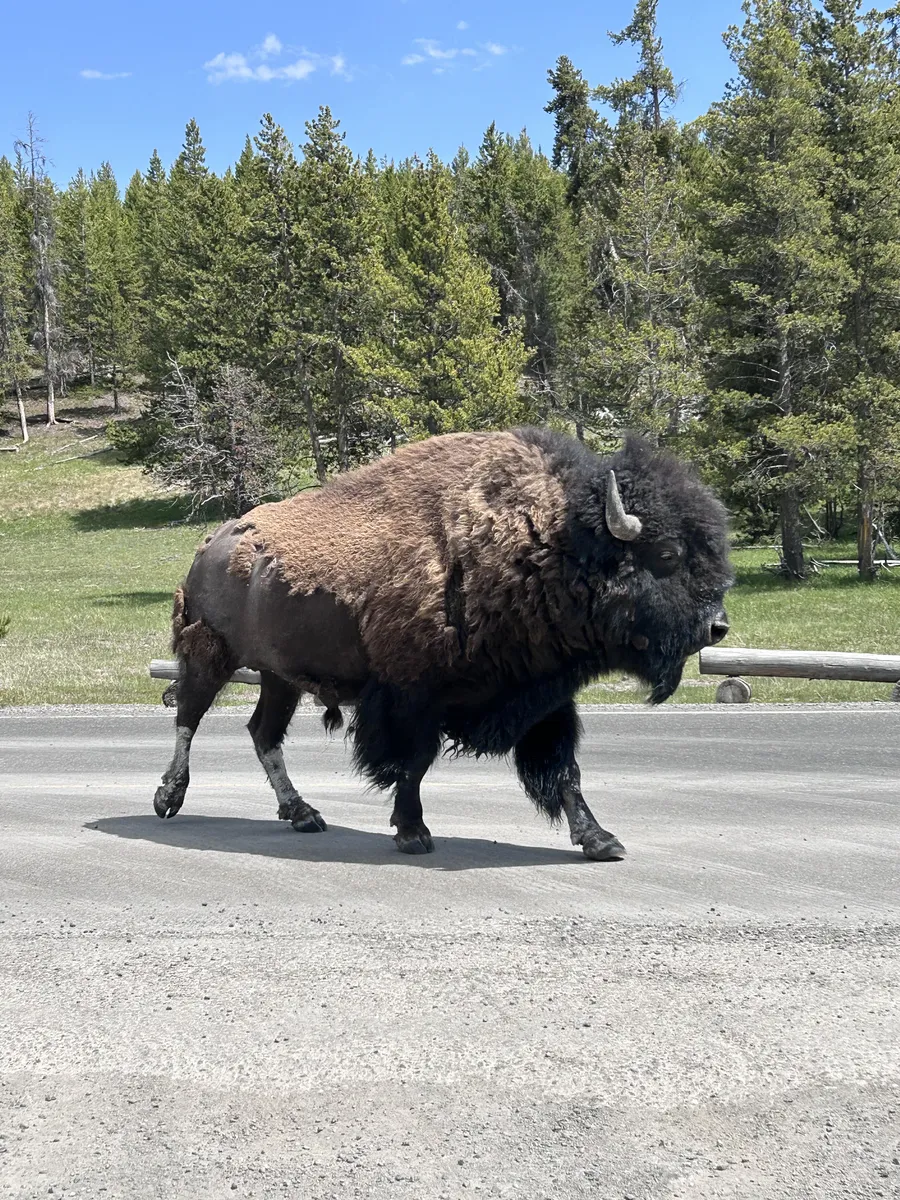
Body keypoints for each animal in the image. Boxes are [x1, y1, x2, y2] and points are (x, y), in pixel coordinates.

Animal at [153, 427, 732, 859]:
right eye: (666, 554)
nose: (717, 627)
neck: (546, 542)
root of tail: (212, 543)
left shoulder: (542, 695)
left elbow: (563, 769)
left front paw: (600, 840)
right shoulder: (411, 696)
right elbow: (414, 761)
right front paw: (413, 832)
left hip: (280, 676)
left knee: (263, 734)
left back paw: (304, 815)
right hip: (210, 654)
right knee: (189, 717)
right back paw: (167, 799)